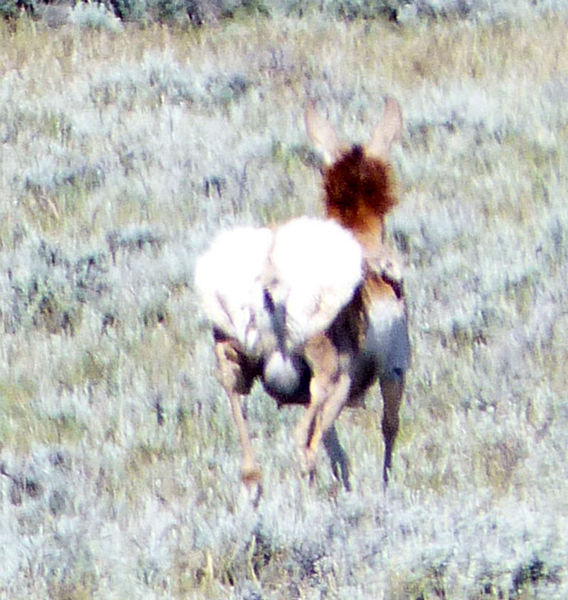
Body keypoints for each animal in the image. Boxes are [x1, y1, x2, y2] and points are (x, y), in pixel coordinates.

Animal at [195, 98, 408, 492]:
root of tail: (272, 280)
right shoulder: (395, 369)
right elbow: (389, 429)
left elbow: (338, 452)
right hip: (332, 384)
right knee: (304, 444)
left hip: (235, 368)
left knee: (251, 465)